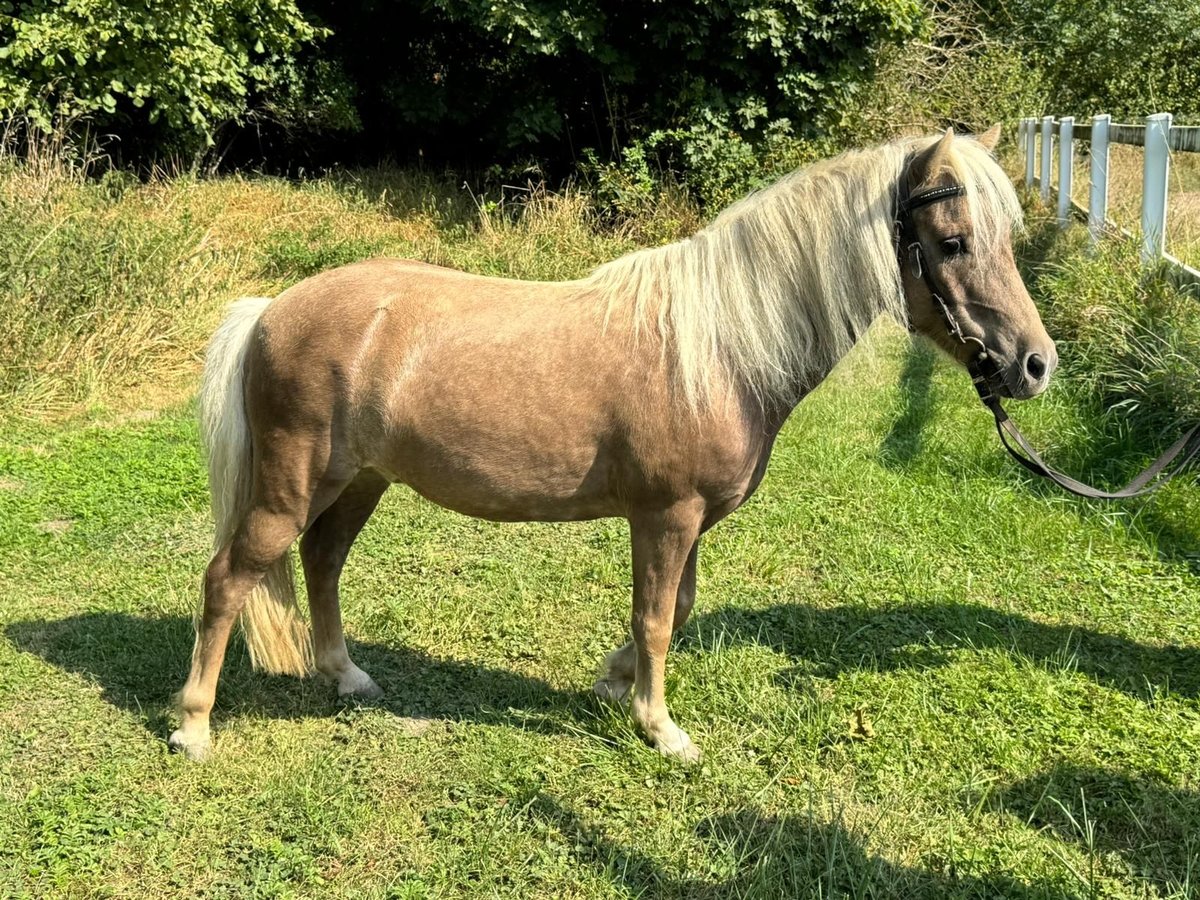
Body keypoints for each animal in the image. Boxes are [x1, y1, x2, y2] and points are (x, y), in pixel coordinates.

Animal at [171, 127, 1060, 763]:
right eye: (952, 242)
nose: (1034, 364)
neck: (718, 348)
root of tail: (270, 309)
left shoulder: (690, 522)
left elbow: (678, 610)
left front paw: (611, 682)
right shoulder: (664, 516)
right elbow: (658, 617)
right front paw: (660, 728)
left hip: (360, 482)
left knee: (321, 561)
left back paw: (346, 675)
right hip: (291, 485)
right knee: (228, 579)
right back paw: (193, 727)